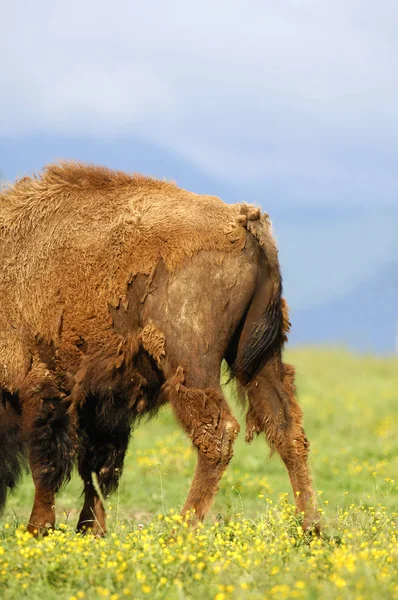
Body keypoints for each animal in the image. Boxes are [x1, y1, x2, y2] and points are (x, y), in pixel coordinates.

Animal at [0, 163, 318, 536]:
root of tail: (243, 221)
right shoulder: (100, 401)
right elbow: (97, 467)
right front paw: (90, 529)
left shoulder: (42, 385)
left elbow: (48, 464)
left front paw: (38, 528)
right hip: (258, 359)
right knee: (286, 428)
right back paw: (313, 530)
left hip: (190, 363)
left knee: (218, 433)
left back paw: (182, 529)